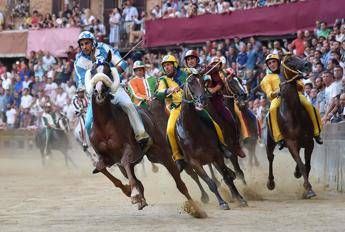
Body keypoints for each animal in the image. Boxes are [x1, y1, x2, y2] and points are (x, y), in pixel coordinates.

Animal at [86, 51, 206, 218]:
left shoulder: (130, 149)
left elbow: (125, 162)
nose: (99, 92)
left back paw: (196, 209)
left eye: (108, 71)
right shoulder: (106, 157)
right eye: (92, 71)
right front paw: (130, 191)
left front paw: (135, 194)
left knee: (180, 183)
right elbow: (101, 168)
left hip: (161, 154)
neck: (104, 124)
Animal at [176, 73, 246, 209]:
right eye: (191, 83)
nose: (243, 95)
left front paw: (240, 196)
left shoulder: (220, 152)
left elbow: (230, 175)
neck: (193, 131)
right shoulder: (195, 162)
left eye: (240, 80)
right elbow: (211, 182)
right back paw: (204, 196)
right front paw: (223, 202)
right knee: (195, 176)